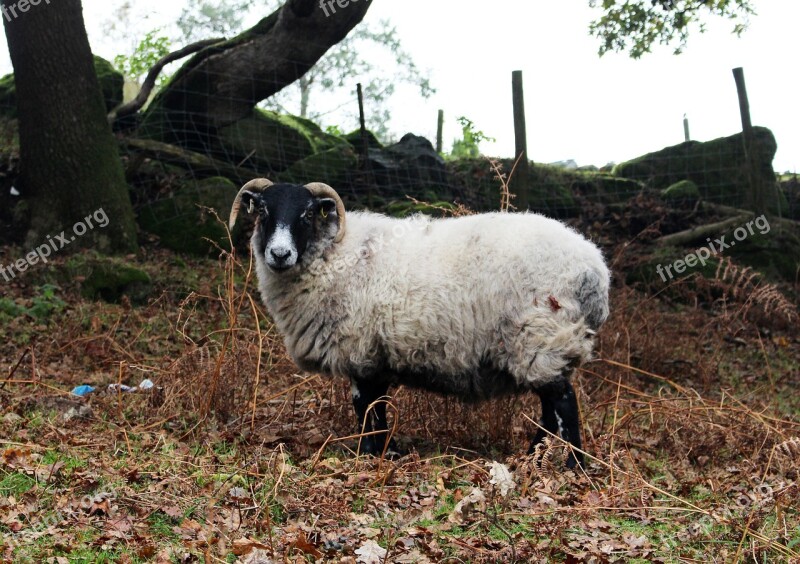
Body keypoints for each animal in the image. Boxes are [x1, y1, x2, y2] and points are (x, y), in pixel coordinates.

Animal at [228, 177, 608, 468]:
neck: (333, 254)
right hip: (542, 345)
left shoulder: (359, 349)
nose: (279, 254)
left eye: (307, 214)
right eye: (262, 210)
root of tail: (595, 270)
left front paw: (369, 455)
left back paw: (573, 466)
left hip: (542, 337)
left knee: (563, 404)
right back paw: (531, 457)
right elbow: (378, 406)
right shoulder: (376, 355)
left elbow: (365, 407)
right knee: (548, 409)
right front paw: (388, 452)